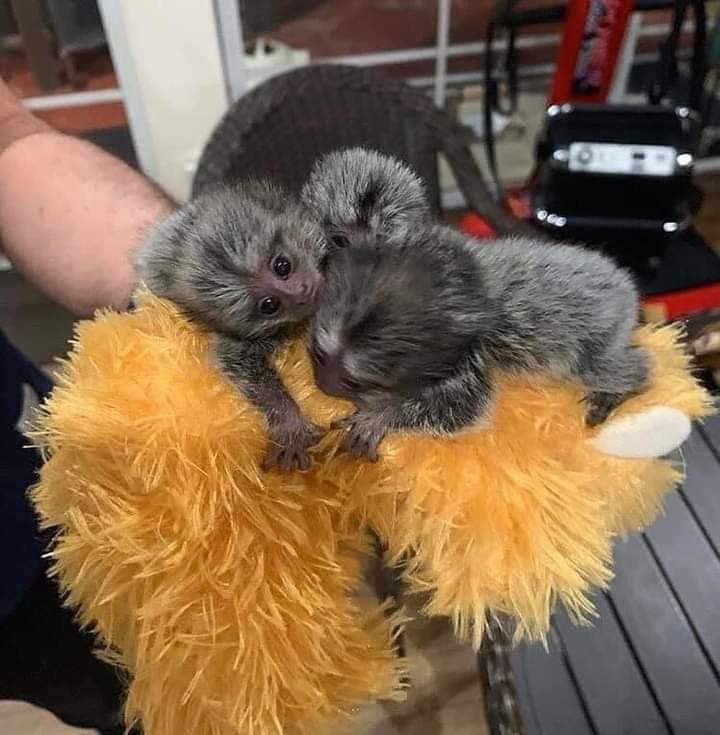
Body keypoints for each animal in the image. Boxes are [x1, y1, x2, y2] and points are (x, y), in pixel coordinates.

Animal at [309, 226, 648, 461]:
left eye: (352, 382)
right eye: (321, 357)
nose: (323, 384)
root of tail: (626, 287)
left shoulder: (473, 356)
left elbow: (462, 410)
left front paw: (381, 416)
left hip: (600, 330)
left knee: (596, 364)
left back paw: (621, 386)